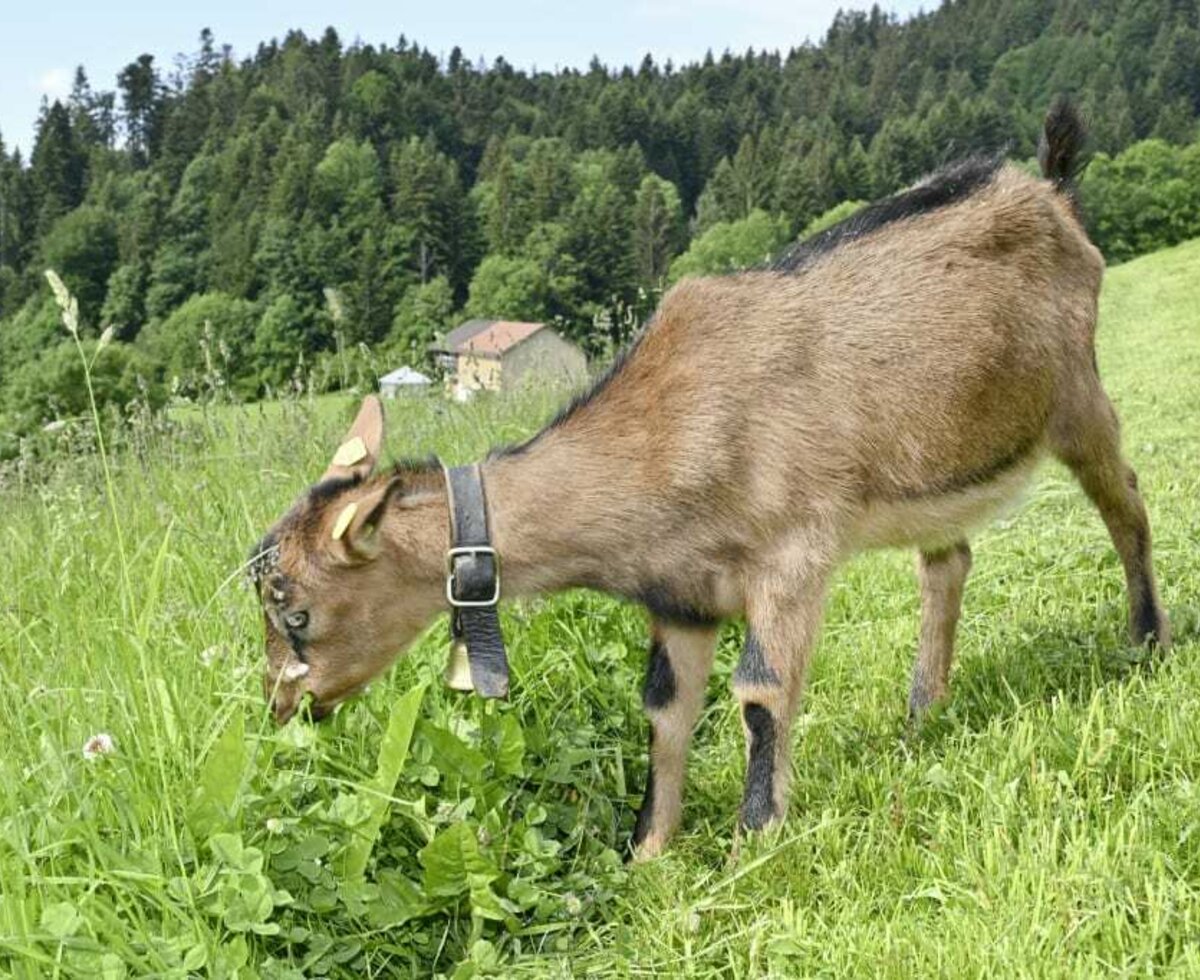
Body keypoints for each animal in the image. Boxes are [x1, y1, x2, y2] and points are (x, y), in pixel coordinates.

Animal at [248, 101, 1166, 854]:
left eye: (295, 612)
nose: (283, 708)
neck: (672, 431)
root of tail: (1052, 189)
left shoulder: (792, 554)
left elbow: (759, 693)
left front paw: (753, 842)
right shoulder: (680, 595)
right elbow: (664, 709)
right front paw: (650, 853)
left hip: (1077, 394)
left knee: (1126, 503)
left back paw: (1147, 638)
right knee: (949, 560)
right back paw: (922, 706)